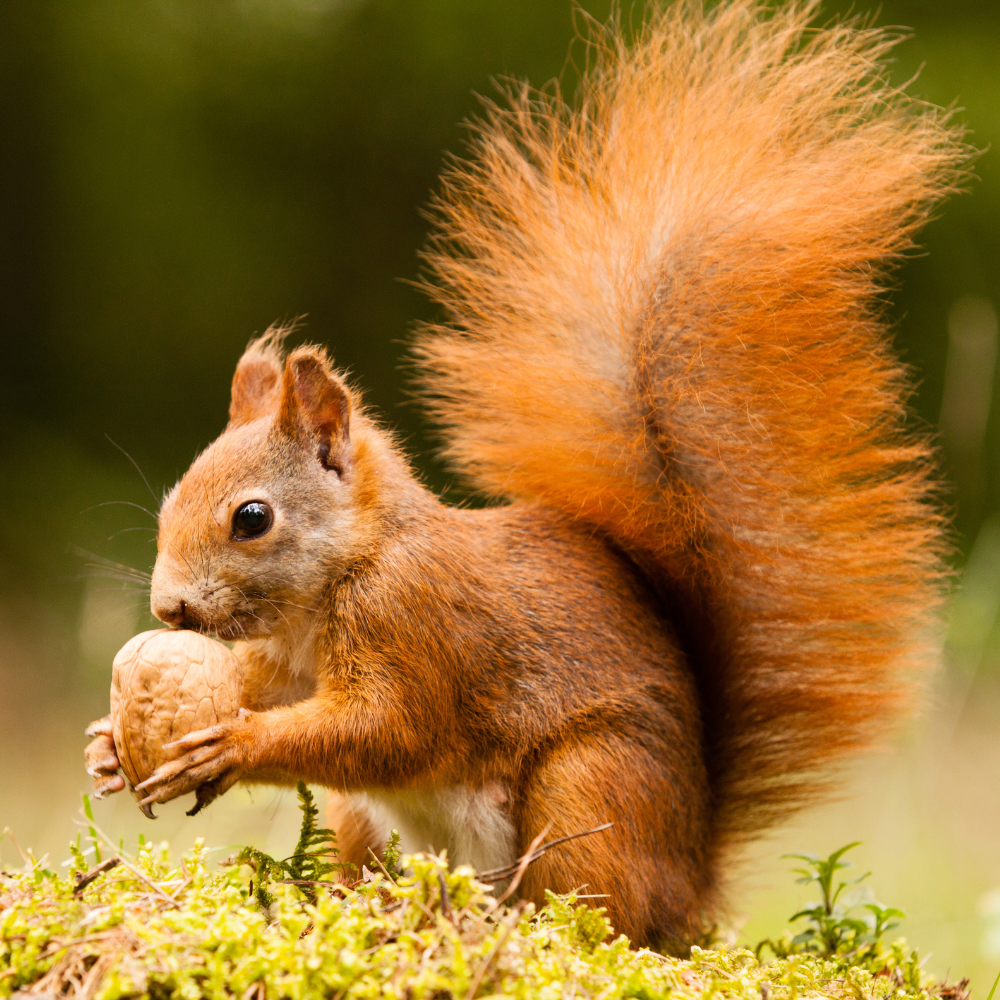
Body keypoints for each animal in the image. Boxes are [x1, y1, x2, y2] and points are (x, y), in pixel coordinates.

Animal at [84, 0, 968, 948]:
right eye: (171, 501)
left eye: (252, 518)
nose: (168, 609)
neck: (339, 580)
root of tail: (692, 882)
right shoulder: (284, 663)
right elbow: (267, 692)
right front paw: (109, 743)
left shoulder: (417, 626)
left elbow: (387, 730)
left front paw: (234, 744)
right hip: (374, 821)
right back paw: (373, 906)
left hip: (591, 785)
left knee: (595, 910)